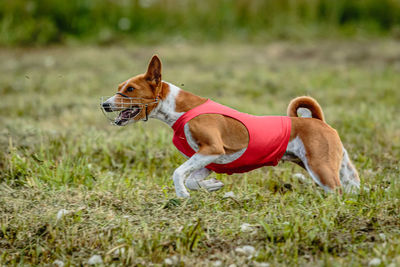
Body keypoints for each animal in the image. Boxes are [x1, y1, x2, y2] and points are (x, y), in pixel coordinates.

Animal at [100, 55, 360, 198]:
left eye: (130, 89)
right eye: (120, 87)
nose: (104, 104)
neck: (179, 109)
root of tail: (317, 120)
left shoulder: (212, 149)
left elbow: (178, 173)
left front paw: (183, 194)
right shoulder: (208, 160)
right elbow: (192, 178)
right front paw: (211, 186)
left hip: (319, 167)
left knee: (337, 192)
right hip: (335, 166)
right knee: (352, 186)